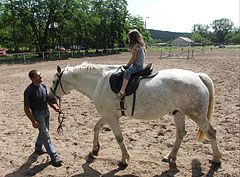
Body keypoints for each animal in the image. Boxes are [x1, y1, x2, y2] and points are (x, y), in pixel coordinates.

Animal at [47, 63, 222, 168]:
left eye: (55, 81)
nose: (49, 99)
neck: (99, 83)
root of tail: (198, 76)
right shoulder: (108, 115)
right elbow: (96, 127)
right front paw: (95, 149)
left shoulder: (111, 117)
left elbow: (119, 138)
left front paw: (124, 159)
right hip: (178, 113)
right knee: (180, 134)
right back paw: (170, 156)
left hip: (197, 115)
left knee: (211, 132)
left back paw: (216, 159)